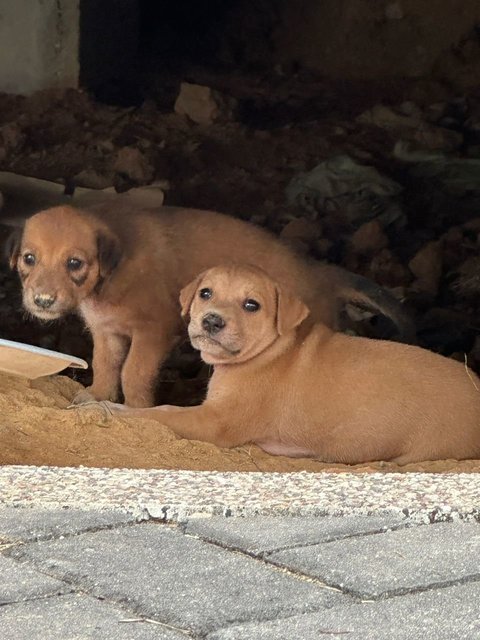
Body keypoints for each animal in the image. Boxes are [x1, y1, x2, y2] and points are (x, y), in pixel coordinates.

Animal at [6, 202, 412, 408]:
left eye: (74, 263)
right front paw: (97, 398)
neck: (111, 274)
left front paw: (136, 410)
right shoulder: (107, 332)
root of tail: (322, 274)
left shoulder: (154, 331)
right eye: (29, 258)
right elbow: (107, 368)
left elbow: (134, 373)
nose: (42, 300)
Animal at [99, 264, 480, 464]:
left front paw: (115, 410)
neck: (270, 351)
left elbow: (162, 413)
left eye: (252, 305)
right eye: (205, 293)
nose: (211, 321)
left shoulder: (215, 422)